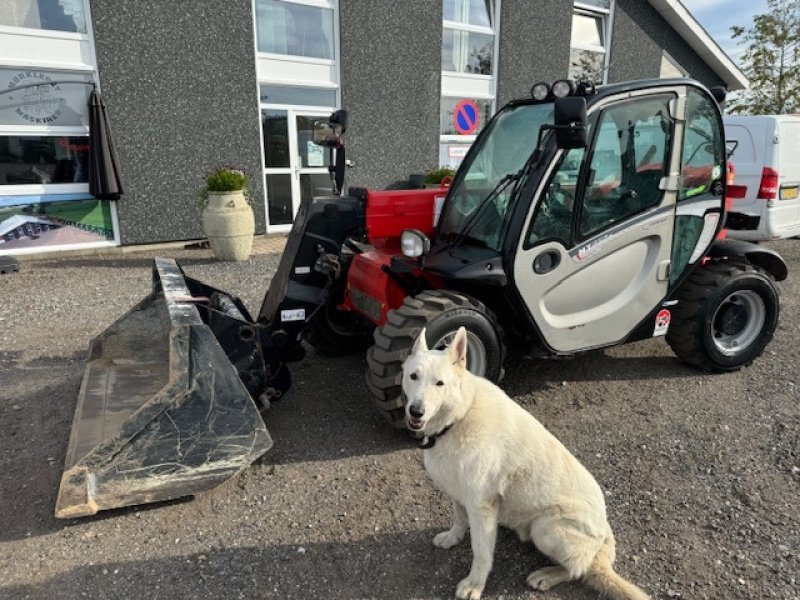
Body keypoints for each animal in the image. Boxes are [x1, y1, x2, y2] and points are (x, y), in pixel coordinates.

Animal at [404, 328, 648, 600]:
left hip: (546, 528)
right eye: (413, 376)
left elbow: (481, 553)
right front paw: (452, 538)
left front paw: (475, 584)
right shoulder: (458, 491)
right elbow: (459, 518)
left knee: (578, 569)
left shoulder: (481, 504)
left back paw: (547, 575)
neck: (459, 416)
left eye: (440, 383)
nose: (415, 411)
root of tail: (604, 533)